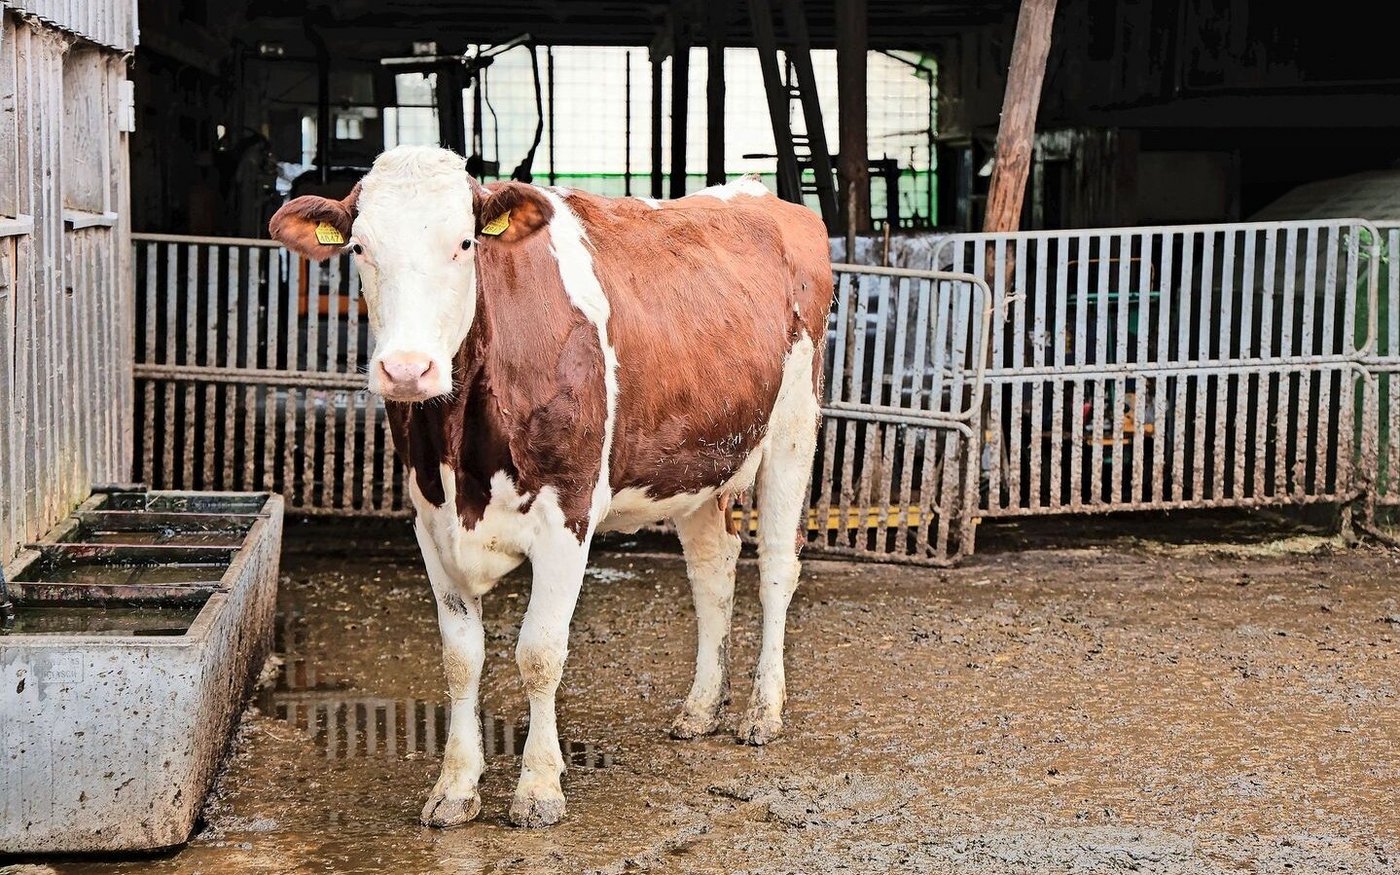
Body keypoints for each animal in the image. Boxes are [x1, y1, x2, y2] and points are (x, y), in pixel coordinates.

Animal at [268, 145, 832, 828]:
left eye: (464, 243)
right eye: (359, 247)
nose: (406, 370)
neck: (463, 451)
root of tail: (762, 197)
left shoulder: (569, 514)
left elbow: (539, 653)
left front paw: (538, 788)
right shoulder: (430, 521)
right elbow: (460, 657)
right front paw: (455, 786)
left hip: (794, 424)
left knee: (776, 565)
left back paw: (762, 711)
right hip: (698, 459)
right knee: (712, 569)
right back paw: (700, 708)